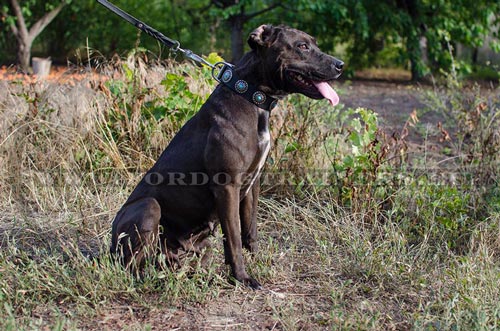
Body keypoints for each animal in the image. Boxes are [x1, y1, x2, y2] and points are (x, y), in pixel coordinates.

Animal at [111, 24, 342, 290]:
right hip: (148, 207)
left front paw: (257, 260)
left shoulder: (252, 184)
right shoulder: (228, 187)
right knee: (131, 265)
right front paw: (242, 277)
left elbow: (249, 230)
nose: (340, 64)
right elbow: (233, 238)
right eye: (302, 46)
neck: (250, 95)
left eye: (314, 43)